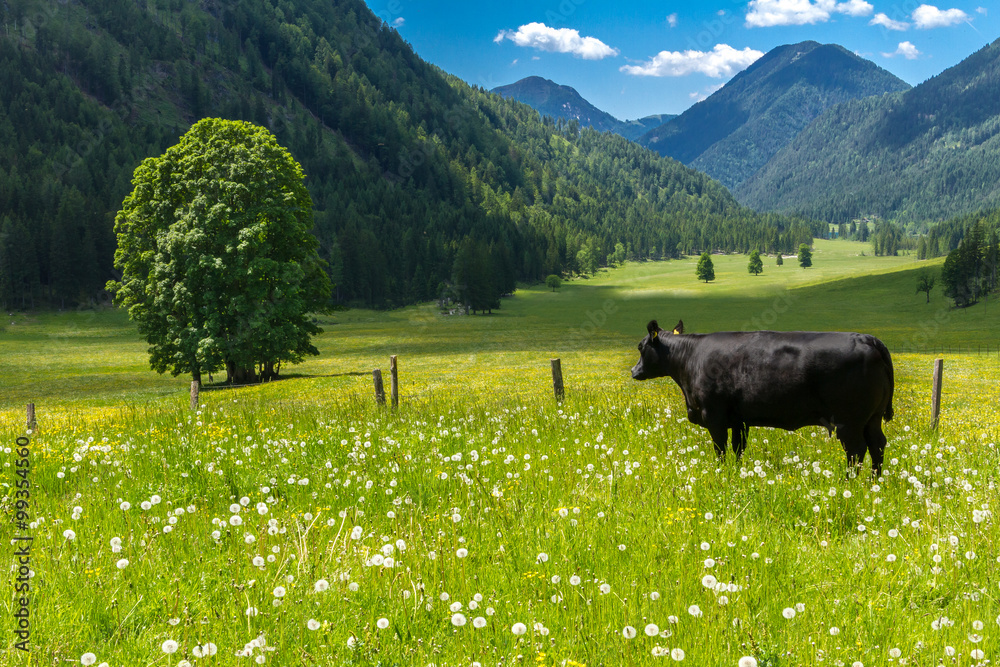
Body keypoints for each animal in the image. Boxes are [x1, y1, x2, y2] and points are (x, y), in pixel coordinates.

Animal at [628, 322, 896, 474]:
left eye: (641, 347)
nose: (633, 371)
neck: (690, 358)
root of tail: (866, 338)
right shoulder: (739, 421)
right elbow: (737, 450)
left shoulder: (714, 416)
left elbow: (721, 450)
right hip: (871, 419)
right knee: (877, 445)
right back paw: (874, 482)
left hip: (849, 421)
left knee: (856, 450)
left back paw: (849, 483)